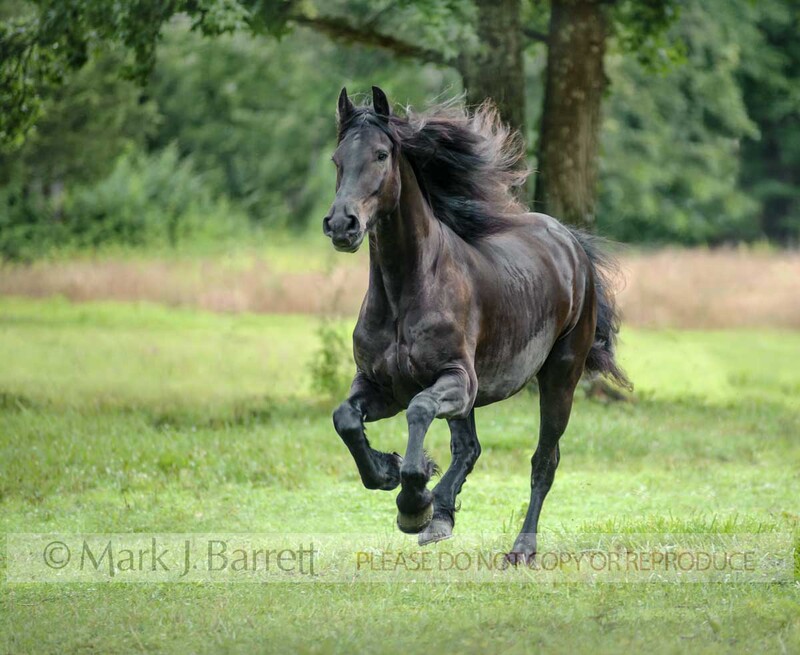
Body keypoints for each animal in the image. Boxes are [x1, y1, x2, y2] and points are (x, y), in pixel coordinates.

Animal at [323, 86, 630, 563]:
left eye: (380, 155)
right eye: (338, 158)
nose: (342, 225)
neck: (407, 289)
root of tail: (570, 242)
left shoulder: (454, 381)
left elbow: (419, 411)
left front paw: (413, 501)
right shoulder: (381, 385)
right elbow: (346, 420)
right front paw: (391, 472)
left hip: (559, 377)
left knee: (544, 461)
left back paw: (520, 547)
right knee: (469, 447)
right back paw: (441, 514)